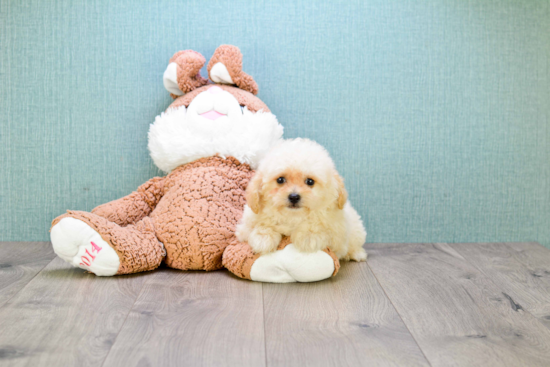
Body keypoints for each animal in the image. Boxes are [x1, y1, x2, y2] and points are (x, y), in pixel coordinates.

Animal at [236, 138, 368, 262]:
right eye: (280, 180)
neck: (293, 217)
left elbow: (319, 227)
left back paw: (357, 254)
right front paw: (263, 237)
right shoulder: (245, 227)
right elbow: (261, 225)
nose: (294, 196)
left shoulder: (337, 237)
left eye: (310, 181)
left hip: (356, 230)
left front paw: (308, 236)